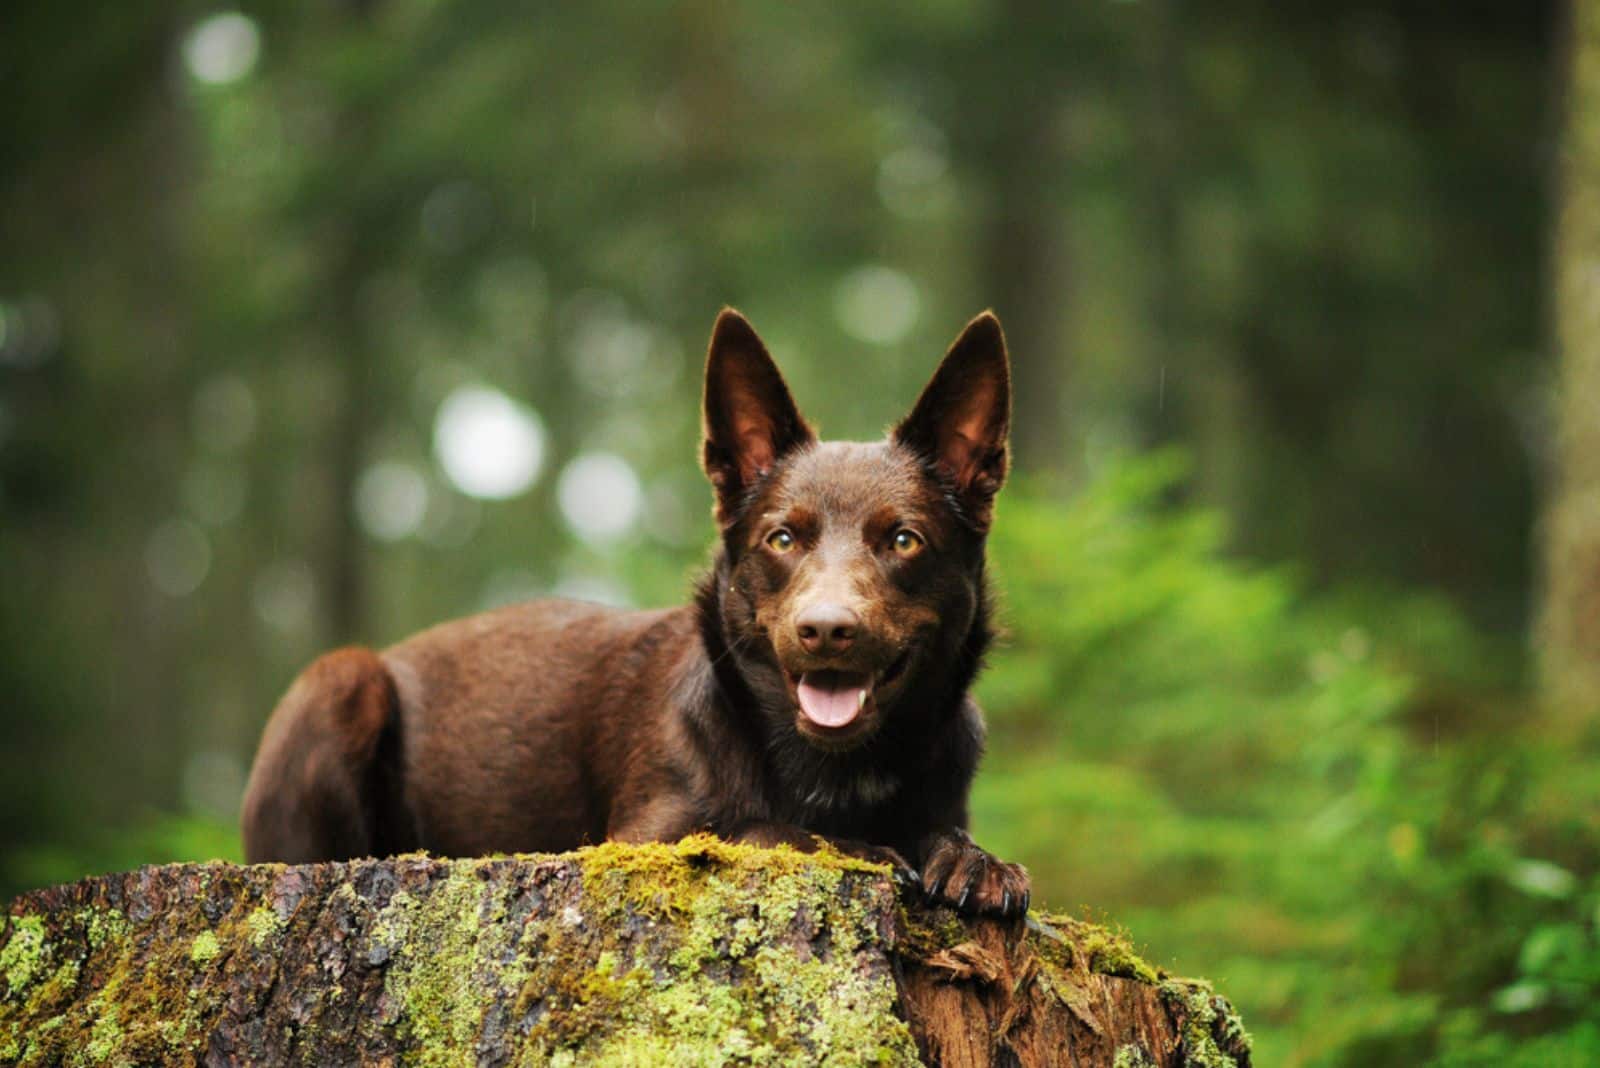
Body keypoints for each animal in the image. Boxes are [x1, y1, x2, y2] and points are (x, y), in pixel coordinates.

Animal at [243, 308, 1030, 920]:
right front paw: (860, 849)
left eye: (904, 540)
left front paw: (971, 859)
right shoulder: (647, 835)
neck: (833, 773)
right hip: (340, 681)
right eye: (782, 539)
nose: (827, 630)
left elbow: (943, 834)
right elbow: (752, 831)